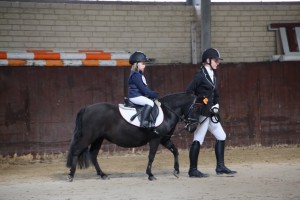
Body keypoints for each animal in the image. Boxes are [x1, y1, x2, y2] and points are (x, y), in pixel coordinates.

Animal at [65, 92, 202, 181]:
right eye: (195, 109)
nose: (193, 127)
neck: (167, 112)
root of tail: (87, 108)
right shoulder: (155, 139)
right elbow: (151, 156)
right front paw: (150, 174)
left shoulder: (164, 139)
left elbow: (175, 151)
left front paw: (176, 171)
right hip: (89, 136)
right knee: (77, 151)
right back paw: (71, 175)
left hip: (98, 138)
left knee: (93, 155)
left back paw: (102, 174)